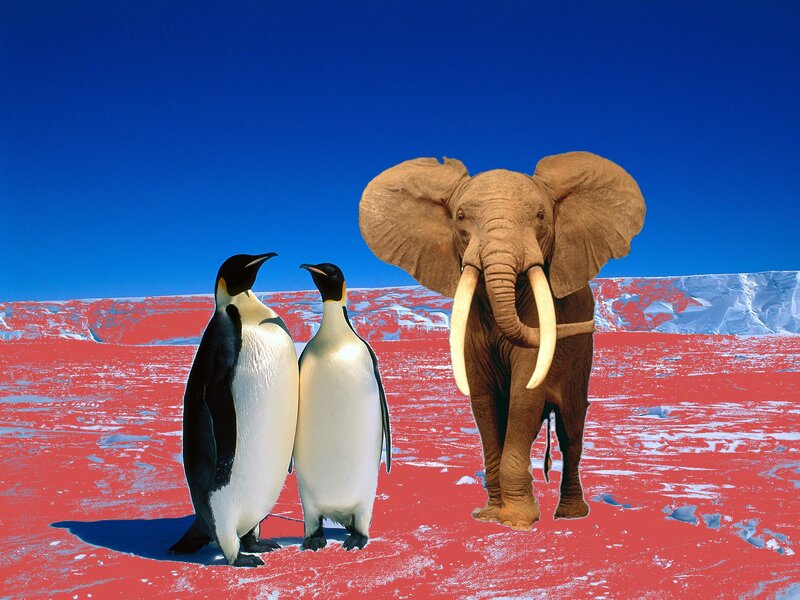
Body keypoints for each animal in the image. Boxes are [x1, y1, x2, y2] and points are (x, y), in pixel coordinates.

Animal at [359, 152, 645, 530]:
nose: (590, 326)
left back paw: (571, 514)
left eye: (540, 217)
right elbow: (483, 400)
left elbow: (524, 394)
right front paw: (490, 515)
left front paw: (517, 522)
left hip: (582, 358)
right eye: (460, 217)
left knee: (571, 428)